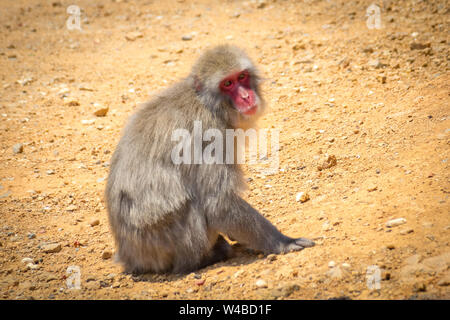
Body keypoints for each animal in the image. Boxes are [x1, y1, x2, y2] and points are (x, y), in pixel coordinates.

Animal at [106, 44, 314, 276]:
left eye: (242, 77)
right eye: (227, 84)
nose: (246, 97)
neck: (209, 104)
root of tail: (130, 257)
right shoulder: (211, 133)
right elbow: (218, 203)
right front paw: (283, 242)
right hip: (164, 240)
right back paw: (205, 258)